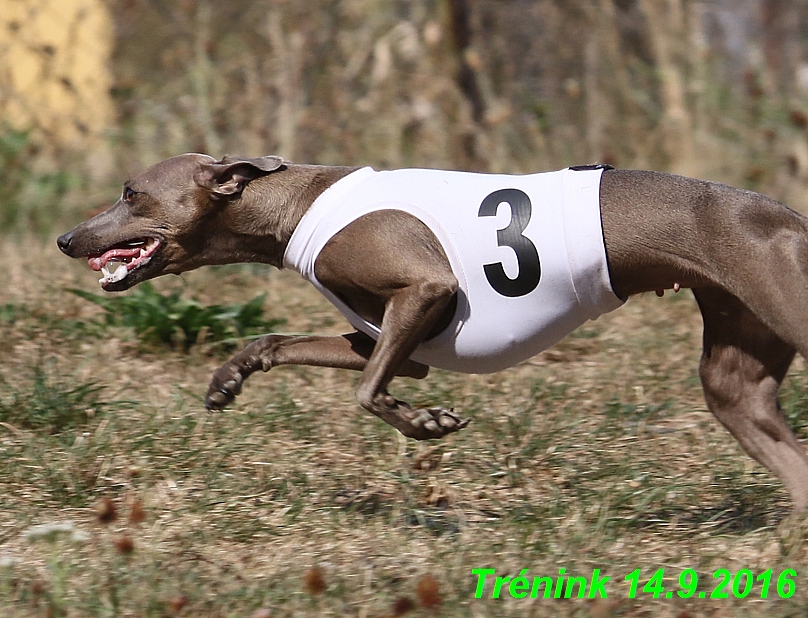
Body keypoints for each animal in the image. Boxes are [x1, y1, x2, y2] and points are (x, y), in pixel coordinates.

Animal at [58, 154, 808, 510]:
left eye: (131, 192)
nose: (66, 239)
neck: (294, 202)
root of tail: (787, 216)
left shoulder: (426, 291)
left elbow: (367, 392)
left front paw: (425, 425)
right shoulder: (390, 337)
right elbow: (275, 345)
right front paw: (228, 379)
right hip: (735, 382)